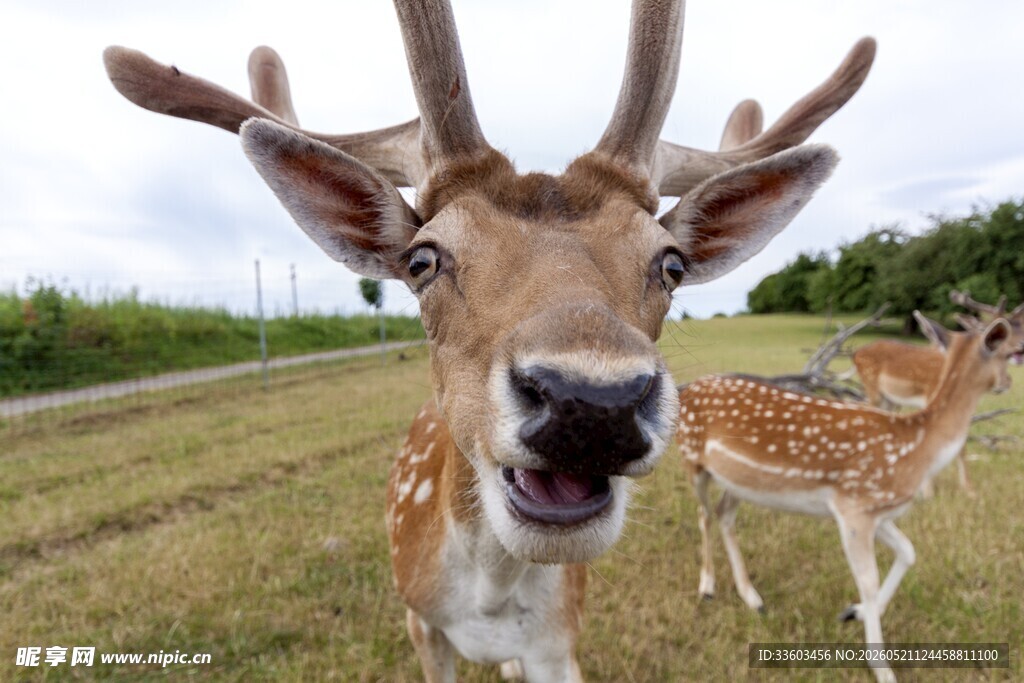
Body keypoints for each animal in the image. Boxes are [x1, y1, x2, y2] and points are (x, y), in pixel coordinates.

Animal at [103, 1, 875, 679]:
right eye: (422, 259)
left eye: (671, 263)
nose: (593, 403)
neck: (489, 600)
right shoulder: (418, 621)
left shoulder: (560, 641)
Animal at [677, 312, 1014, 683]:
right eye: (1009, 352)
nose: (1009, 382)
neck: (917, 449)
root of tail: (685, 391)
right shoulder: (854, 505)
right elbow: (868, 580)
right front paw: (882, 668)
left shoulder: (876, 510)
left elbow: (908, 551)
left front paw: (855, 613)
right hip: (692, 460)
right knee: (703, 514)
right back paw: (708, 587)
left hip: (738, 482)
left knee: (724, 513)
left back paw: (752, 597)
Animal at [848, 291, 1024, 496]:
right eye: (1004, 328)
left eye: (1020, 324)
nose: (1021, 345)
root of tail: (855, 354)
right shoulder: (931, 394)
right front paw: (960, 490)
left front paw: (965, 488)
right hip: (873, 389)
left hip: (889, 399)